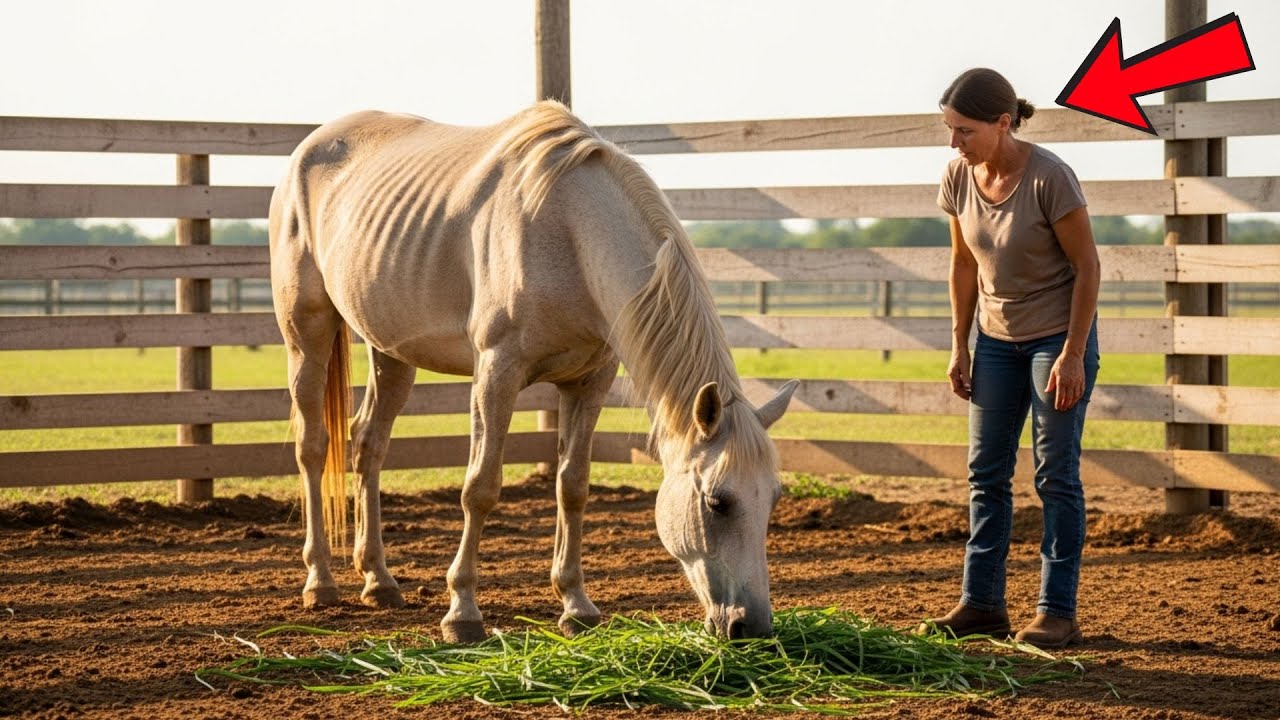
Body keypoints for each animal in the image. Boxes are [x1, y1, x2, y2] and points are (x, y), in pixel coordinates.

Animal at [268, 101, 798, 643]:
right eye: (717, 502)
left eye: (774, 498)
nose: (752, 625)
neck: (570, 234)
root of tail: (309, 149)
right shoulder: (496, 375)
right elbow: (480, 488)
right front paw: (462, 611)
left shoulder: (589, 382)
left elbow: (573, 487)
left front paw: (576, 604)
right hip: (305, 333)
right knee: (313, 446)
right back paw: (320, 581)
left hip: (389, 350)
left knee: (367, 444)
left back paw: (378, 580)